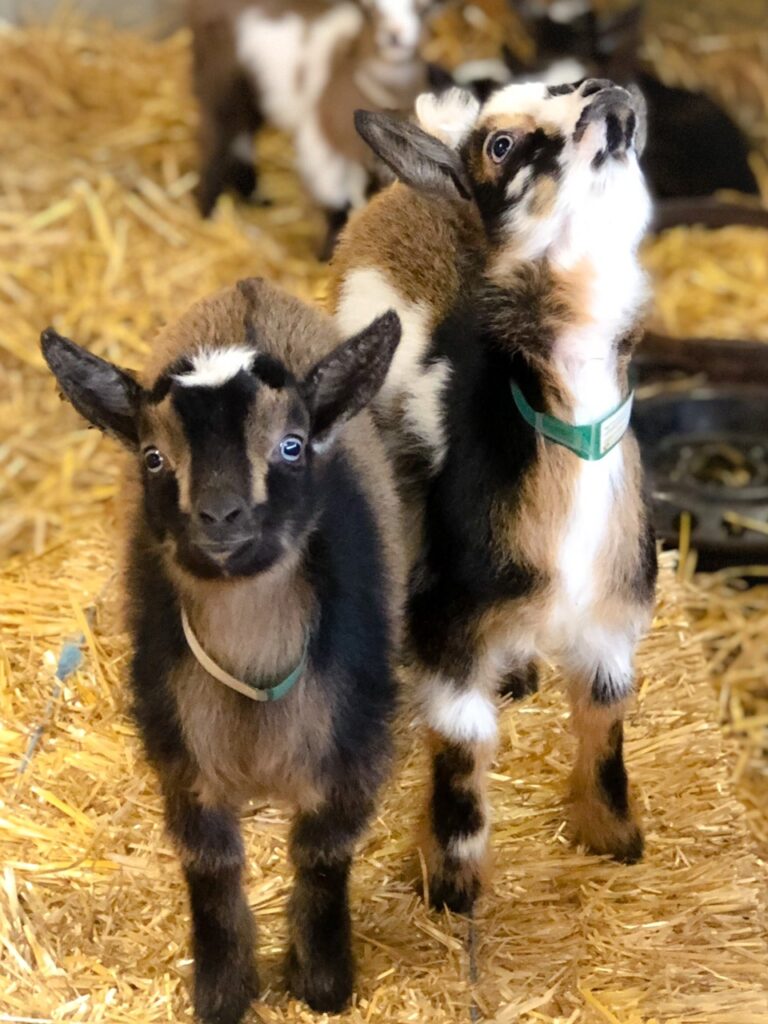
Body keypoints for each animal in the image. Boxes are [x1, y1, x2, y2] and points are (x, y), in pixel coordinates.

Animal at [40, 276, 403, 1019]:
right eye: (153, 457)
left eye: (292, 445)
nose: (220, 516)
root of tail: (249, 289)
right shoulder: (181, 750)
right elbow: (209, 865)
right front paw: (223, 990)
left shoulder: (351, 746)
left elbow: (323, 853)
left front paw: (322, 981)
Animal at [190, 0, 436, 253]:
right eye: (368, 9)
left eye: (423, 8)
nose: (395, 36)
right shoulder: (322, 140)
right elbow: (335, 199)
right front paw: (329, 252)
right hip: (220, 83)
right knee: (217, 142)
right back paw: (208, 214)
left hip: (250, 97)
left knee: (241, 138)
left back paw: (254, 196)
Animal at [333, 79, 659, 913]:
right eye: (502, 146)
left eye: (569, 83)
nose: (607, 93)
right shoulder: (452, 622)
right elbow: (462, 751)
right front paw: (452, 885)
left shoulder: (610, 622)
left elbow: (605, 724)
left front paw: (612, 836)